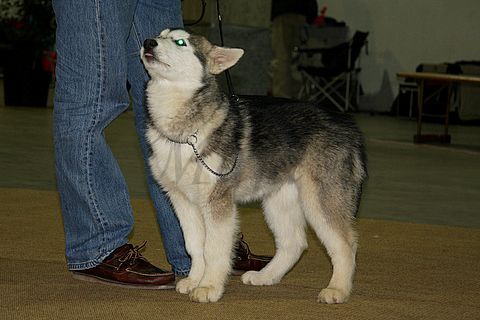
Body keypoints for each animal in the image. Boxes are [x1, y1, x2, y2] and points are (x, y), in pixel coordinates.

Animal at [141, 28, 366, 304]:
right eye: (160, 35)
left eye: (180, 42)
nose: (148, 42)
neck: (184, 134)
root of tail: (348, 125)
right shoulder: (182, 201)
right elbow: (194, 246)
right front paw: (194, 280)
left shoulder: (218, 202)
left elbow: (213, 249)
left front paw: (209, 286)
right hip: (279, 201)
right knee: (294, 243)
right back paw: (265, 277)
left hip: (321, 201)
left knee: (345, 245)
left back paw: (338, 289)